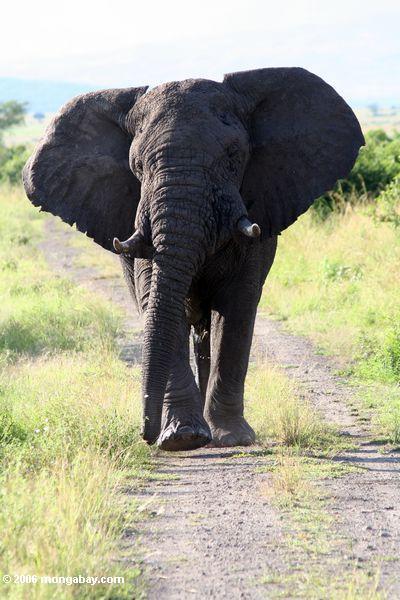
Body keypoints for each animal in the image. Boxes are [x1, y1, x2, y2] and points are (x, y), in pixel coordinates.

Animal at [23, 67, 364, 450]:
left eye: (233, 156)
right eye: (137, 166)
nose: (145, 433)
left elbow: (237, 308)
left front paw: (233, 437)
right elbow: (154, 298)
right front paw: (182, 438)